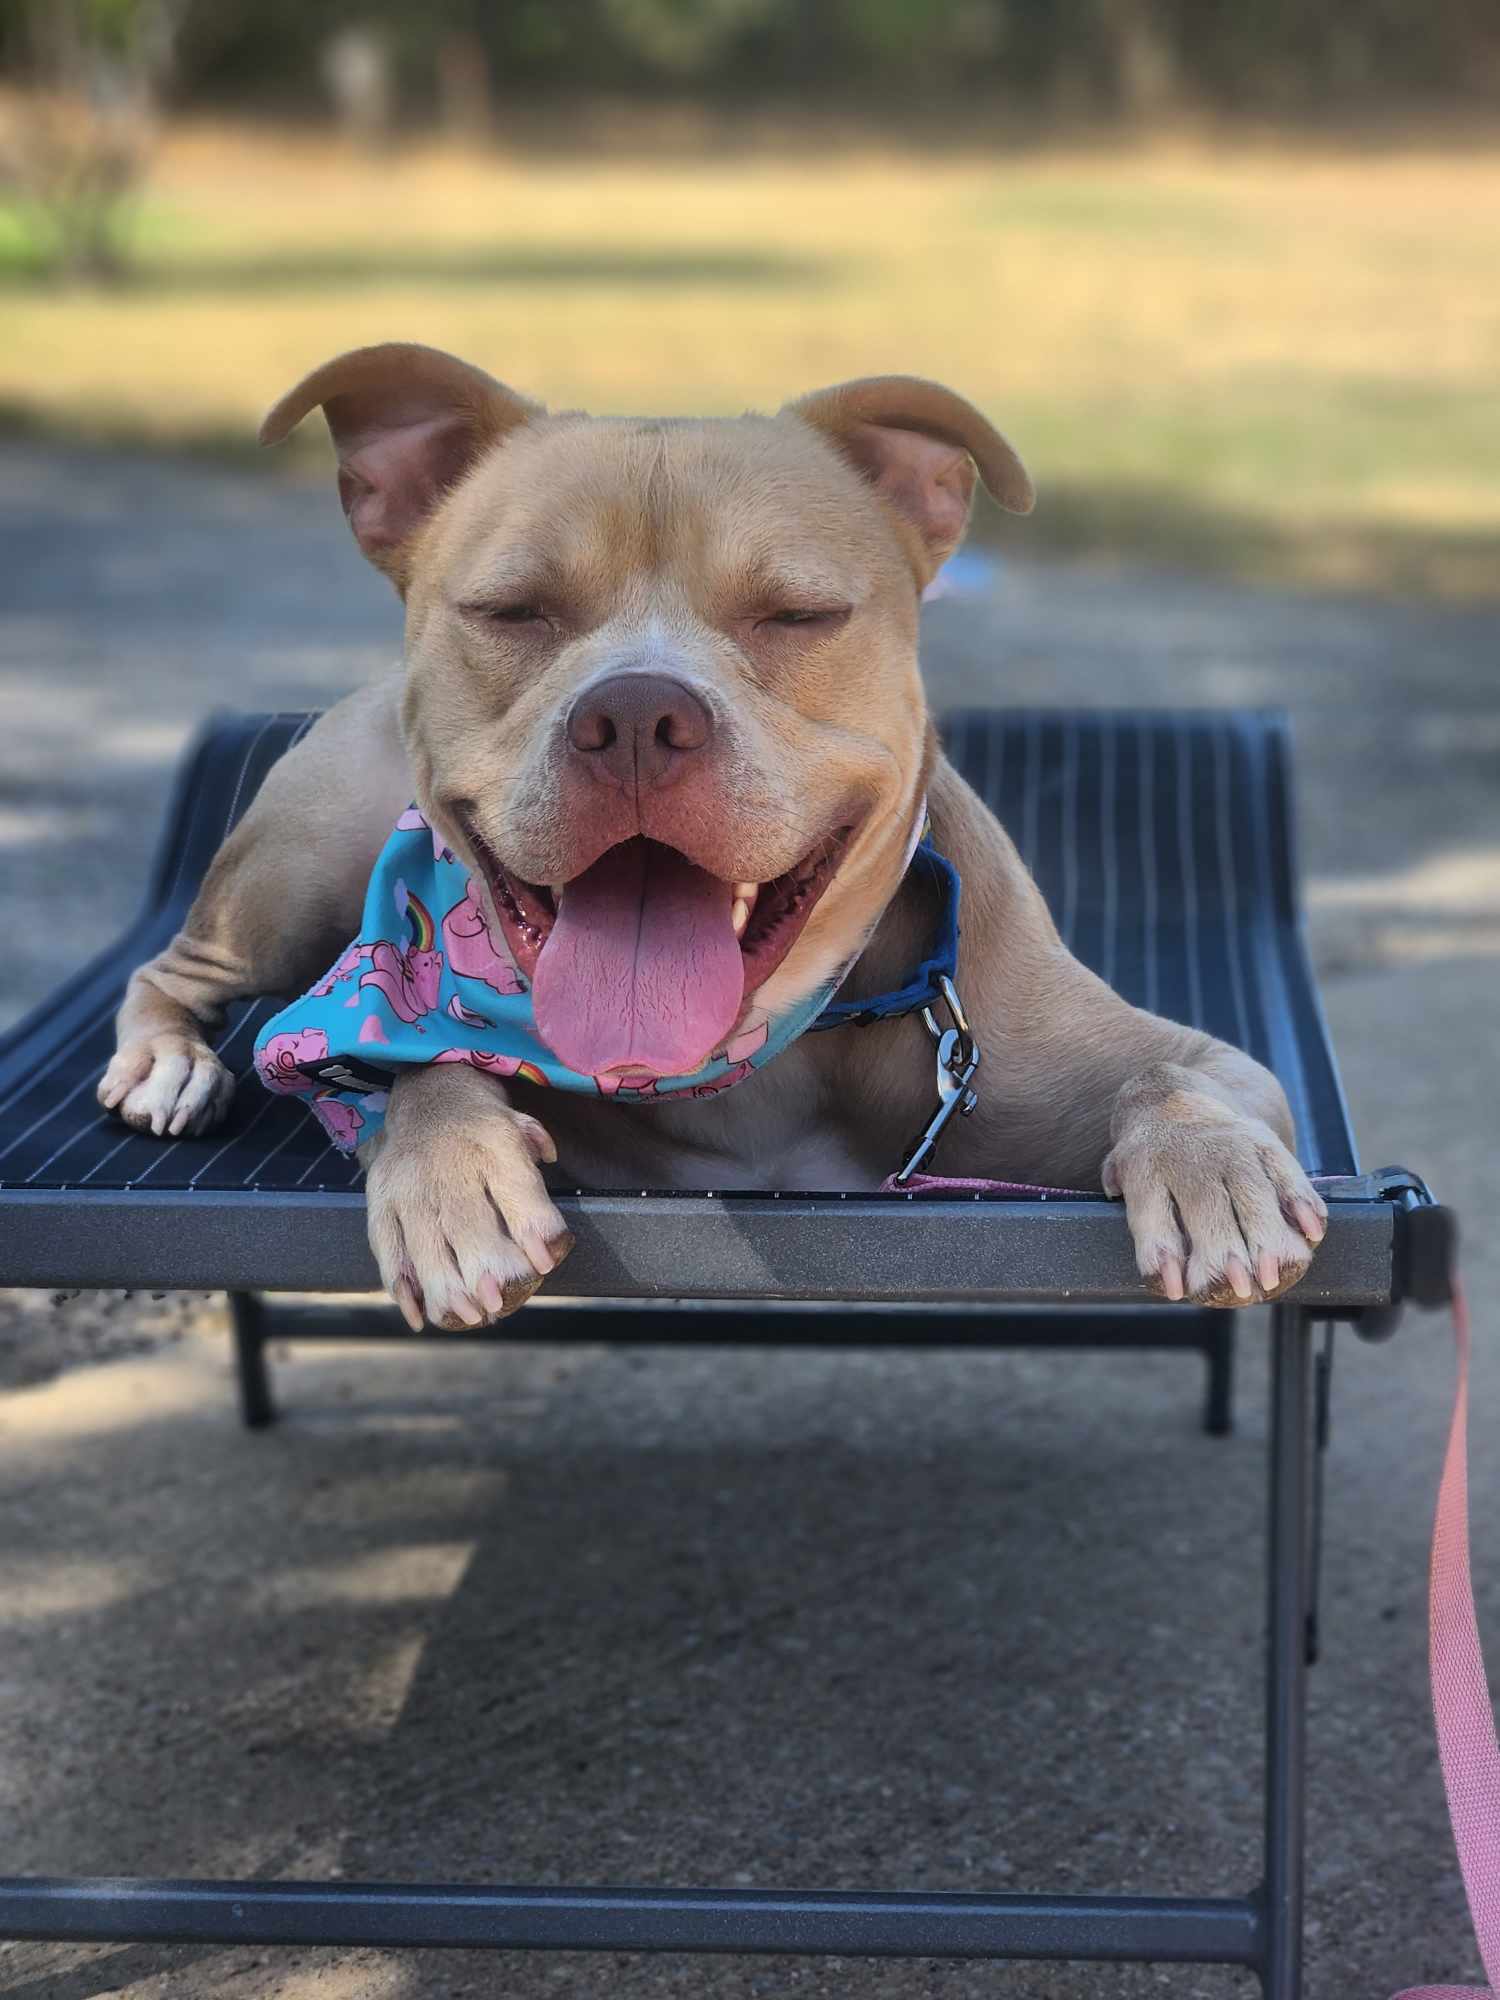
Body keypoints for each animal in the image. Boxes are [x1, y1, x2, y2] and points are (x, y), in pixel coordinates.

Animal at [100, 348, 1336, 1328]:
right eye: (512, 610)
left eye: (797, 613)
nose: (637, 716)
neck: (754, 1054)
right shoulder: (370, 1014)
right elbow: (415, 1068)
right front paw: (450, 1178)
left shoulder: (1207, 1059)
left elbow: (1172, 1078)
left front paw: (1213, 1173)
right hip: (303, 869)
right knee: (178, 964)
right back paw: (167, 1064)